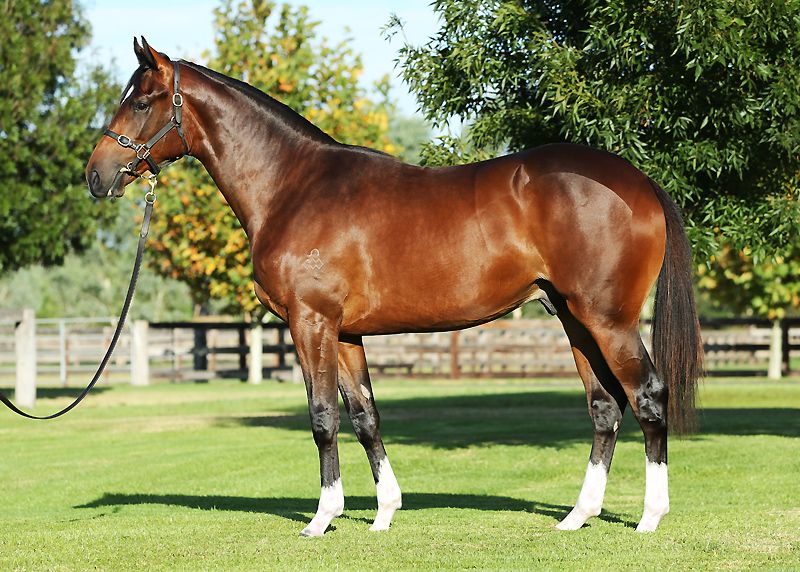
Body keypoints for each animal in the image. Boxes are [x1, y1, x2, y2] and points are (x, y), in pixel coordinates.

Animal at [86, 38, 703, 537]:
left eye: (141, 101)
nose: (97, 174)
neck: (293, 186)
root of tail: (641, 182)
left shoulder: (311, 322)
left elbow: (322, 417)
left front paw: (322, 518)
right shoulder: (344, 334)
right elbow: (365, 416)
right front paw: (383, 513)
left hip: (608, 320)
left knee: (648, 397)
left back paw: (650, 517)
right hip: (574, 319)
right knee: (605, 407)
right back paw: (578, 517)